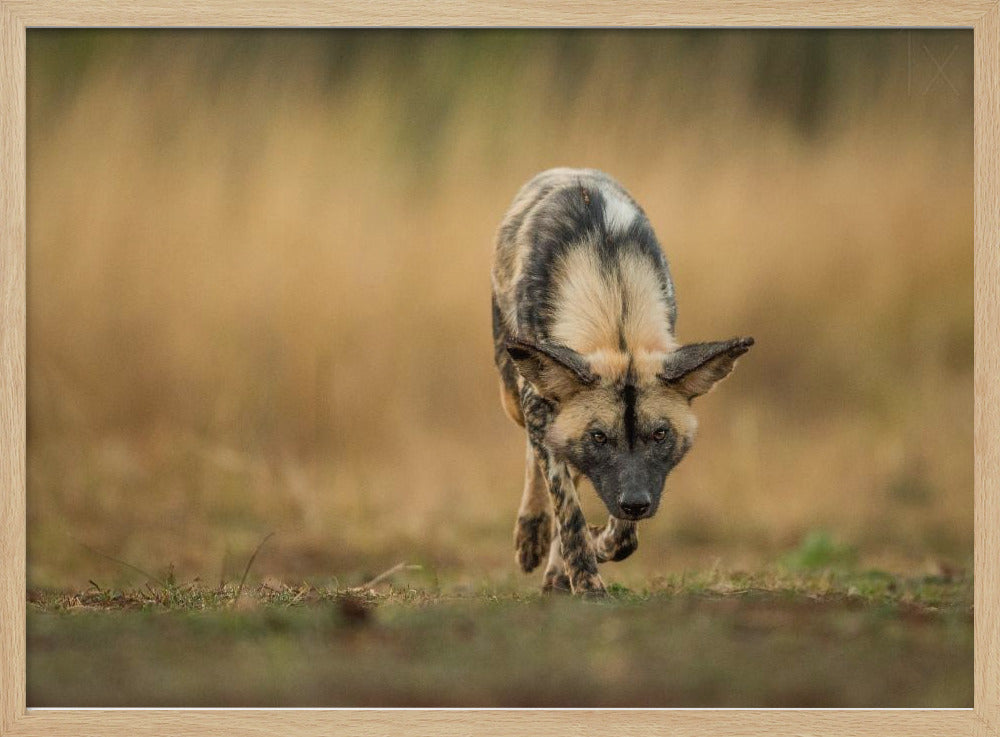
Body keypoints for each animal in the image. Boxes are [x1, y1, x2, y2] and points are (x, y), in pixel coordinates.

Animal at [492, 167, 752, 592]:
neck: (614, 301)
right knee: (538, 460)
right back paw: (533, 535)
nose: (636, 503)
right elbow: (570, 516)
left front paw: (596, 548)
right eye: (599, 437)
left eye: (660, 435)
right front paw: (588, 584)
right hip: (515, 394)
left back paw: (554, 571)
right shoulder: (542, 406)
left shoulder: (639, 478)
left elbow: (623, 536)